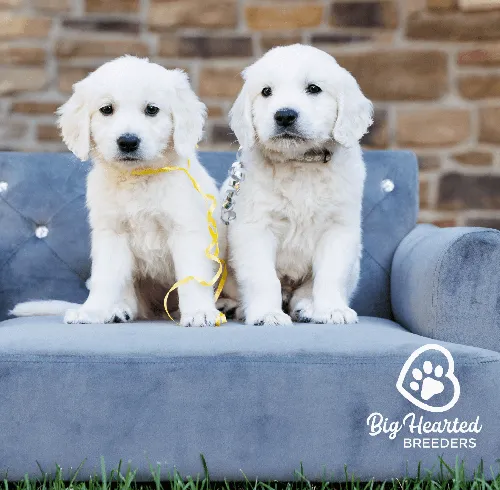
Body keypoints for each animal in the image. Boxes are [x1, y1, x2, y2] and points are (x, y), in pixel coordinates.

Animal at [12, 55, 225, 328]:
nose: (128, 141)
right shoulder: (111, 233)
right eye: (107, 109)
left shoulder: (187, 229)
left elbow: (192, 276)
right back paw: (117, 310)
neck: (138, 177)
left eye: (152, 109)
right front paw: (92, 311)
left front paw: (199, 312)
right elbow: (105, 279)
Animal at [221, 45, 374, 326]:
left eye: (313, 88)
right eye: (266, 91)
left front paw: (332, 309)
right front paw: (267, 314)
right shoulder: (254, 228)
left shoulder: (338, 229)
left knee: (304, 292)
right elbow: (263, 278)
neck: (299, 163)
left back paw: (308, 307)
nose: (284, 115)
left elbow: (330, 274)